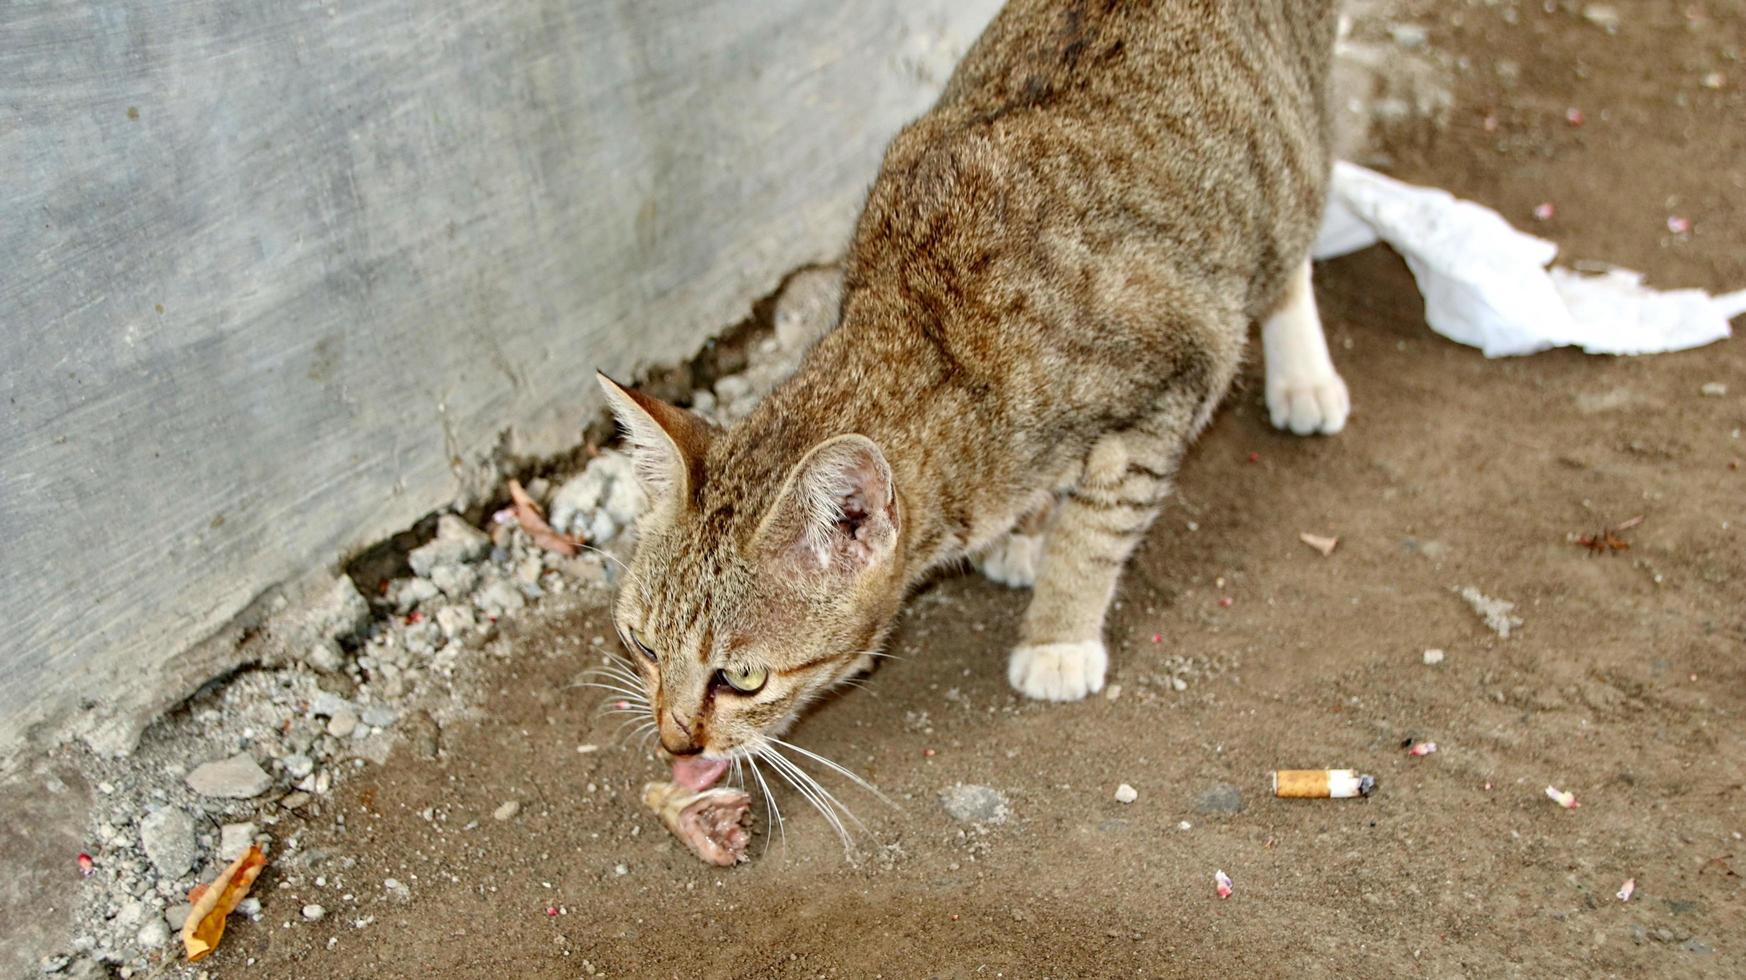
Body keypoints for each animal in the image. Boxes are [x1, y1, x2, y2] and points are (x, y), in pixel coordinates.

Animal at [600, 0, 1347, 796]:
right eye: (642, 644)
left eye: (742, 677)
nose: (675, 741)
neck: (927, 328)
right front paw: (1028, 530)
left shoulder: (1172, 381)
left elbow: (1099, 528)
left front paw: (1059, 632)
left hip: (1282, 180)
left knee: (1292, 244)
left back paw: (1303, 374)